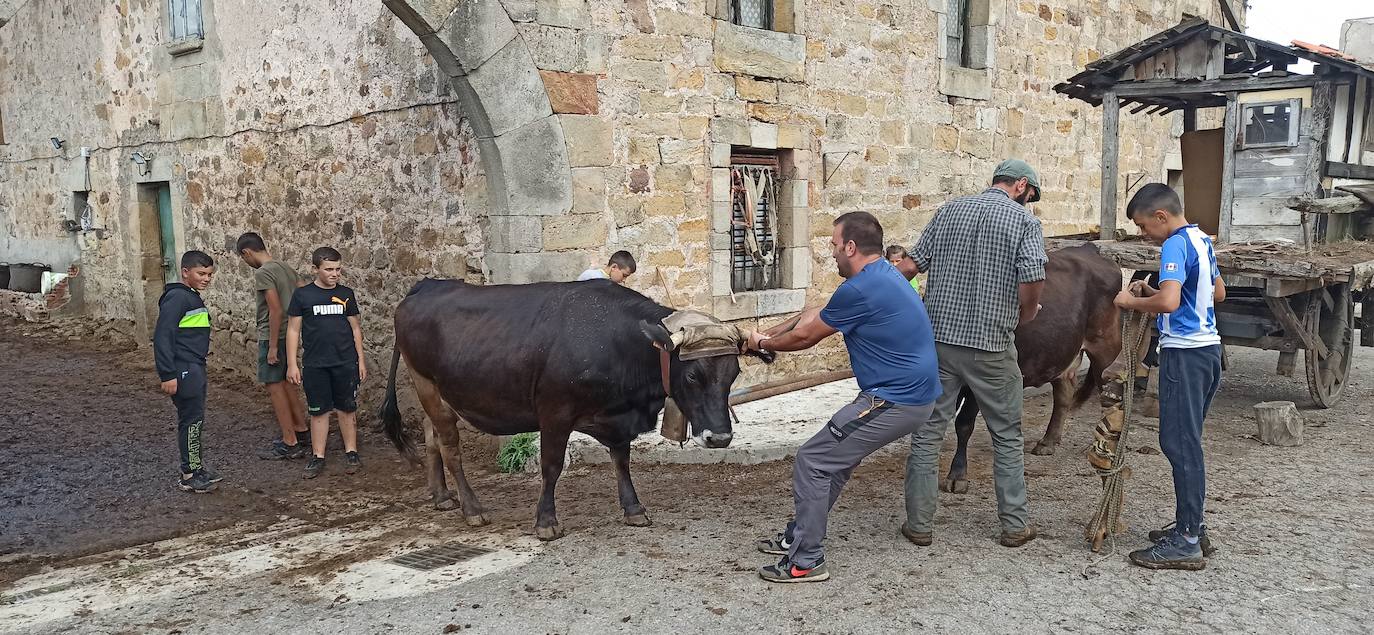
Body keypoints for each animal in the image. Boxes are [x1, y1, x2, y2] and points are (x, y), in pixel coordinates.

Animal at [939, 243, 1121, 492]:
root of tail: (1088, 249)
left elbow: (964, 424)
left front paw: (957, 475)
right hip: (1061, 351)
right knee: (1064, 394)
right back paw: (1048, 442)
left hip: (1105, 348)